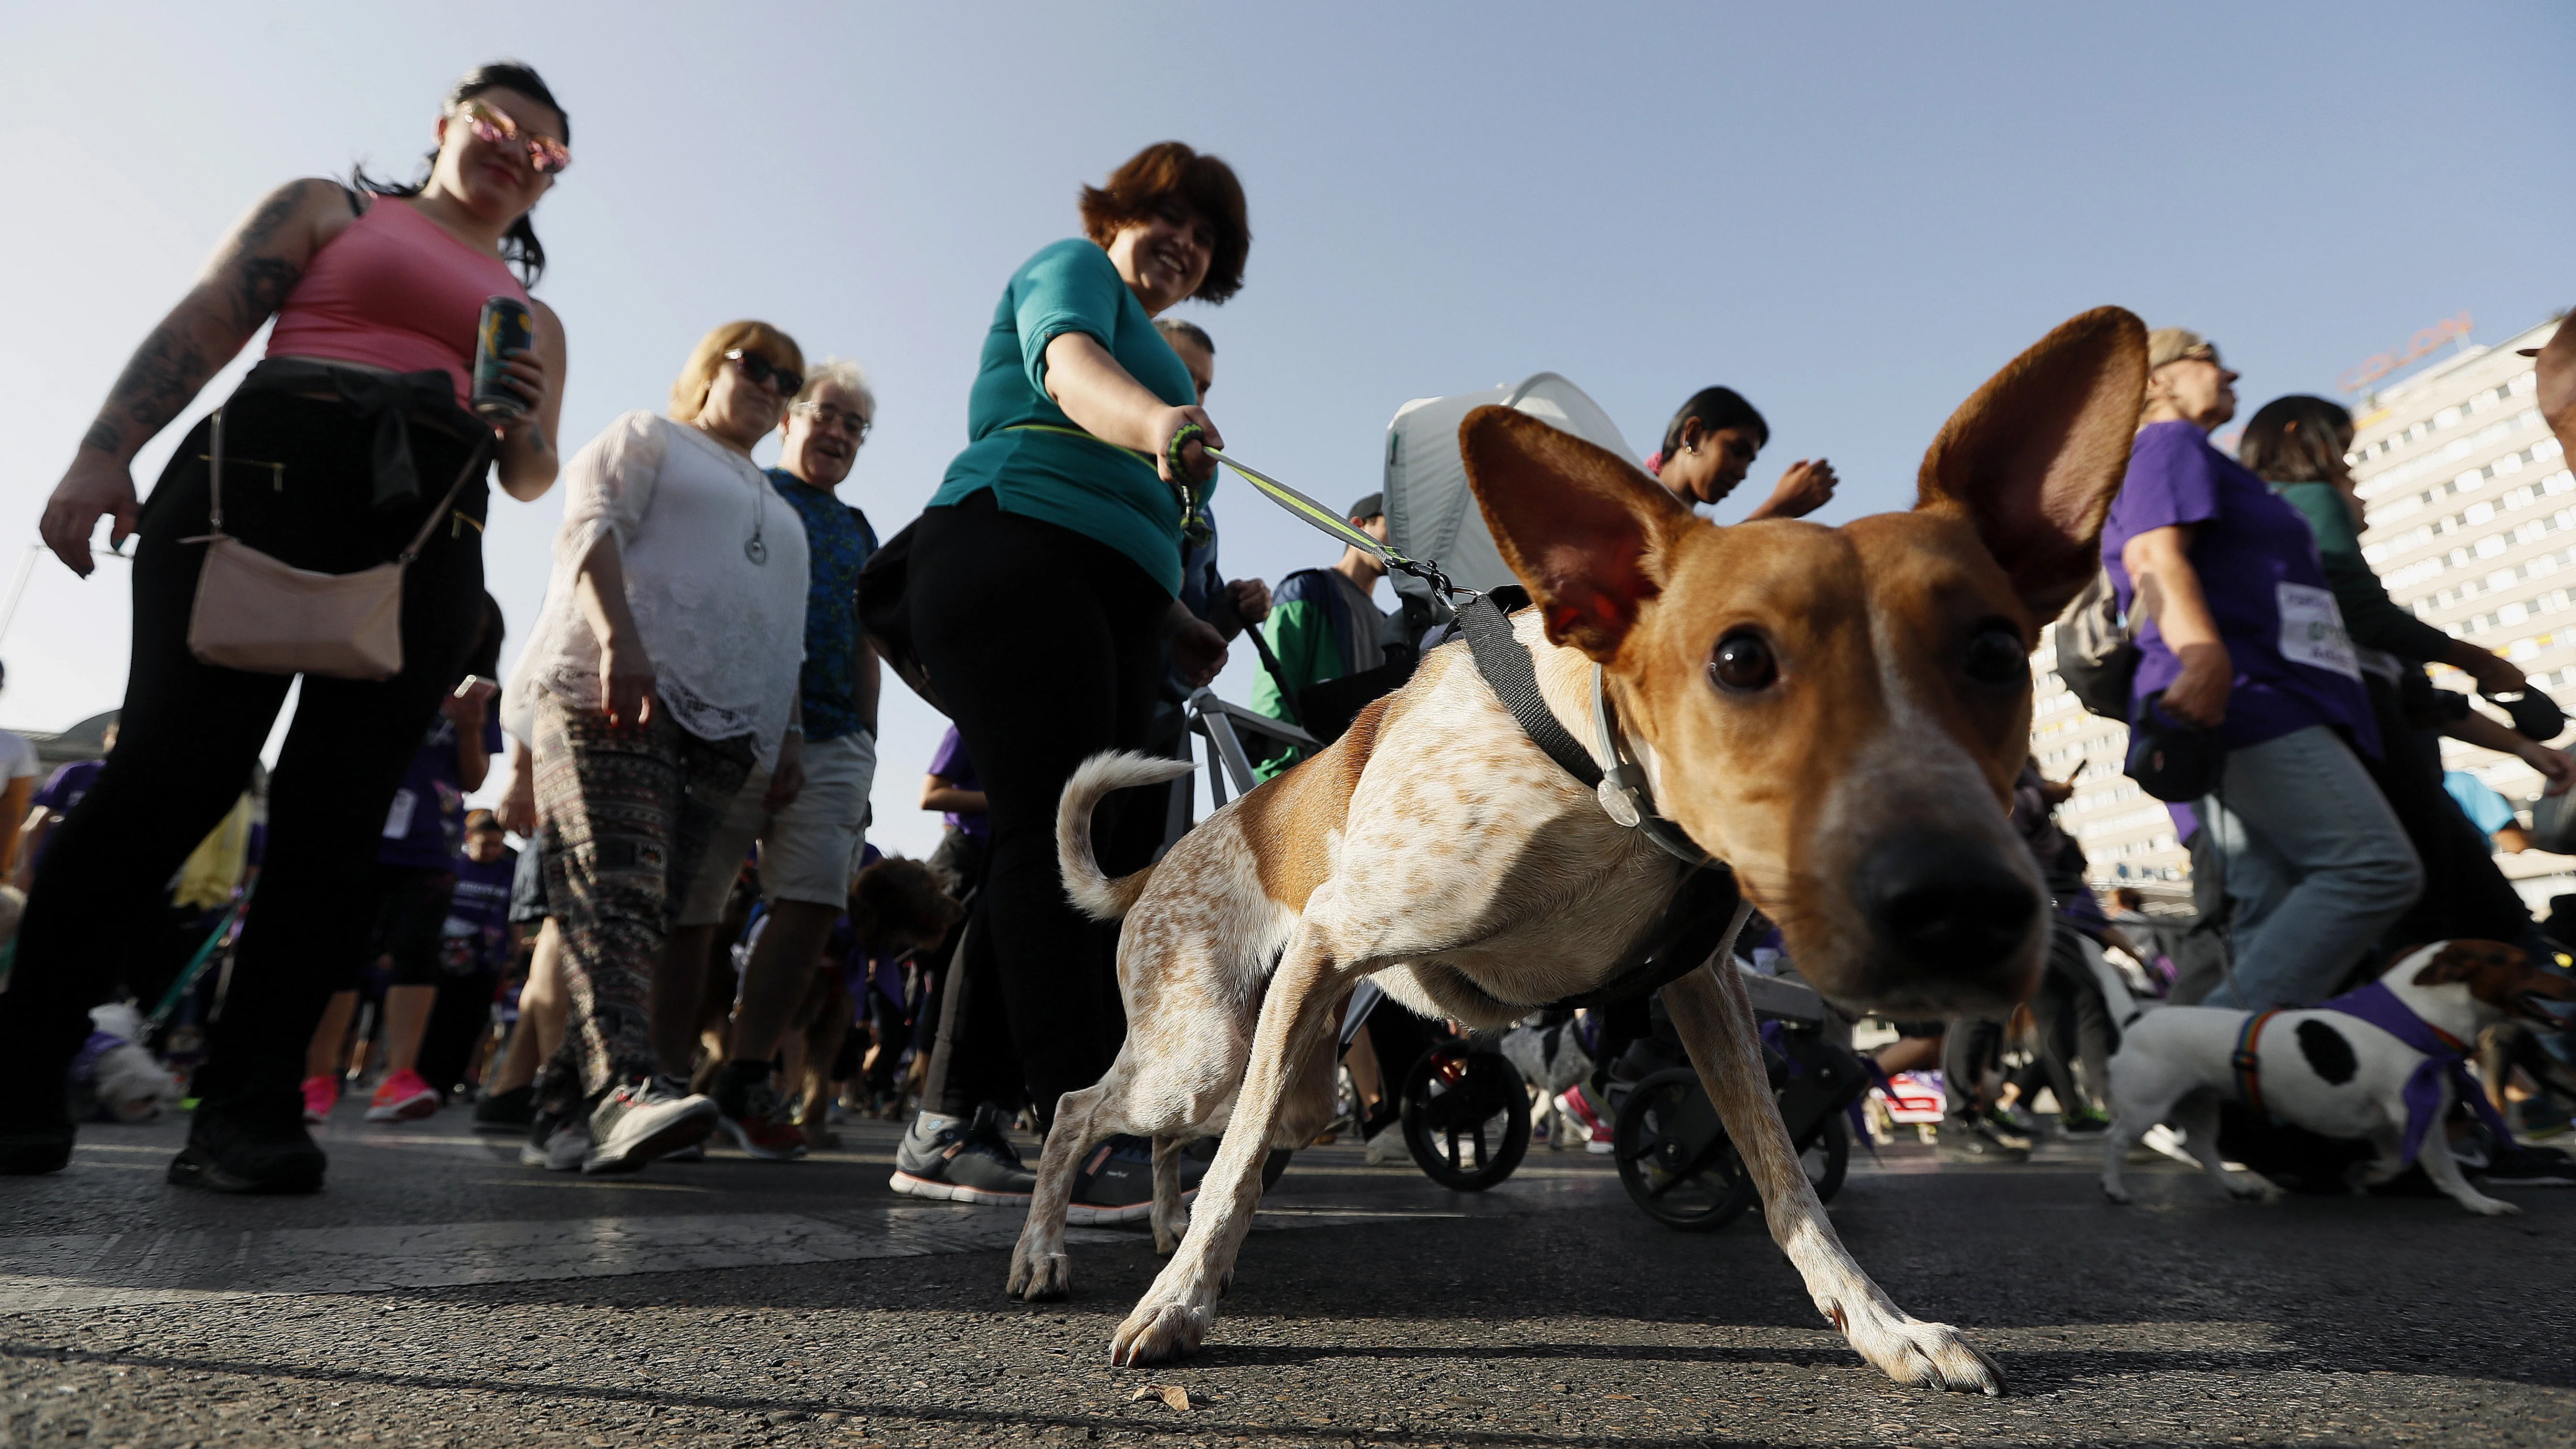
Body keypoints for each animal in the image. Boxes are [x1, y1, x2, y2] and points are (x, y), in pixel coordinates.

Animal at [1009, 306, 2153, 1389]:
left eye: (1997, 653)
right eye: (1739, 660)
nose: (1965, 907)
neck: (1598, 789)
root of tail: (1159, 867)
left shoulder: (1703, 986)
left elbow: (1785, 1180)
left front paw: (1883, 1327)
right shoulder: (1334, 937)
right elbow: (1236, 1170)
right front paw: (1179, 1305)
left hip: (1293, 1075)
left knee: (1177, 1137)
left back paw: (1158, 1224)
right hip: (1211, 1049)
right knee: (1085, 1110)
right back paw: (1048, 1251)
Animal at [2102, 942, 2565, 1215]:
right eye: (2522, 964)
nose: (2570, 976)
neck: (2412, 1019)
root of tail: (2135, 1021)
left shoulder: (2388, 1124)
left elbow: (2396, 1159)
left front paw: (2369, 1176)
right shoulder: (2419, 1115)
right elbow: (2444, 1168)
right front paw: (2479, 1202)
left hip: (2199, 1102)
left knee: (2200, 1147)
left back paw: (2238, 1188)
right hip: (2147, 1105)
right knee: (2117, 1140)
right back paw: (2114, 1189)